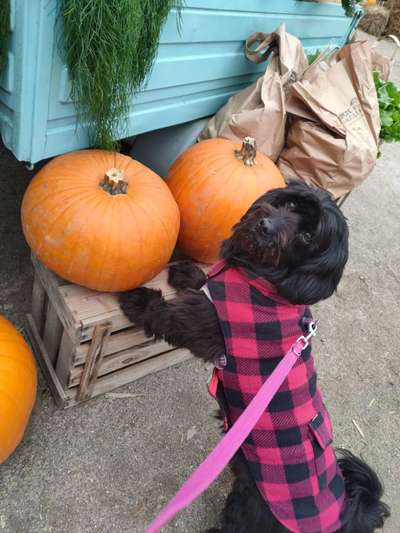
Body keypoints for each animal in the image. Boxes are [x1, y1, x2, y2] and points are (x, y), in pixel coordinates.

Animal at [120, 181, 390, 528]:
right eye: (291, 204)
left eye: (307, 237)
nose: (266, 226)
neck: (263, 281)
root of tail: (343, 517)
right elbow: (205, 281)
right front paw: (186, 272)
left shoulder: (204, 324)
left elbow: (166, 315)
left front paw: (138, 300)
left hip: (251, 505)